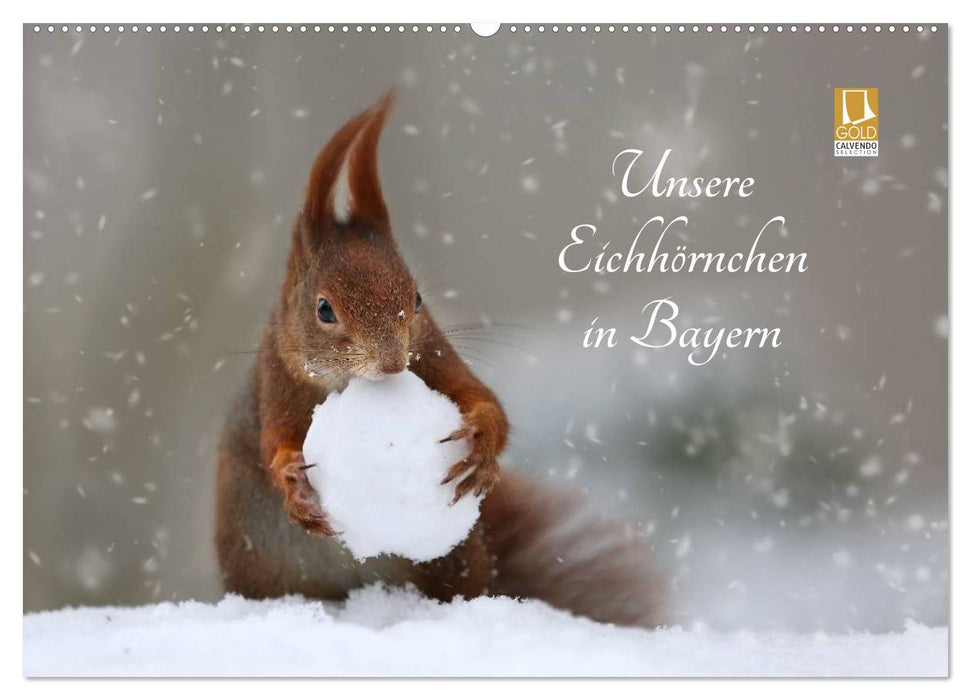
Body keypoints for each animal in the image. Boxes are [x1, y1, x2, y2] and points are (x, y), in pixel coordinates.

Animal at [215, 91, 663, 628]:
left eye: (418, 297)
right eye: (323, 309)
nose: (391, 363)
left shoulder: (434, 355)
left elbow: (484, 400)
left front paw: (482, 449)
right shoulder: (276, 381)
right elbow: (274, 443)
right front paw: (292, 485)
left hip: (450, 558)